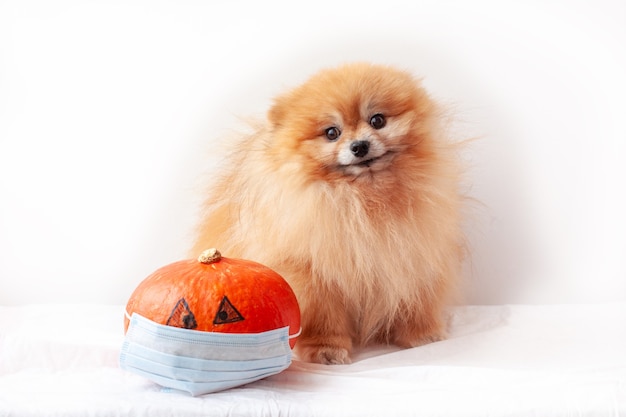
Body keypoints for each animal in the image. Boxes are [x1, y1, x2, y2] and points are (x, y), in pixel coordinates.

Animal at [191, 62, 464, 364]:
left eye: (377, 120)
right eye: (332, 133)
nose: (359, 146)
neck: (362, 201)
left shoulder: (412, 260)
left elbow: (414, 302)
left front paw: (421, 335)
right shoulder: (315, 278)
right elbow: (325, 318)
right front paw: (326, 349)